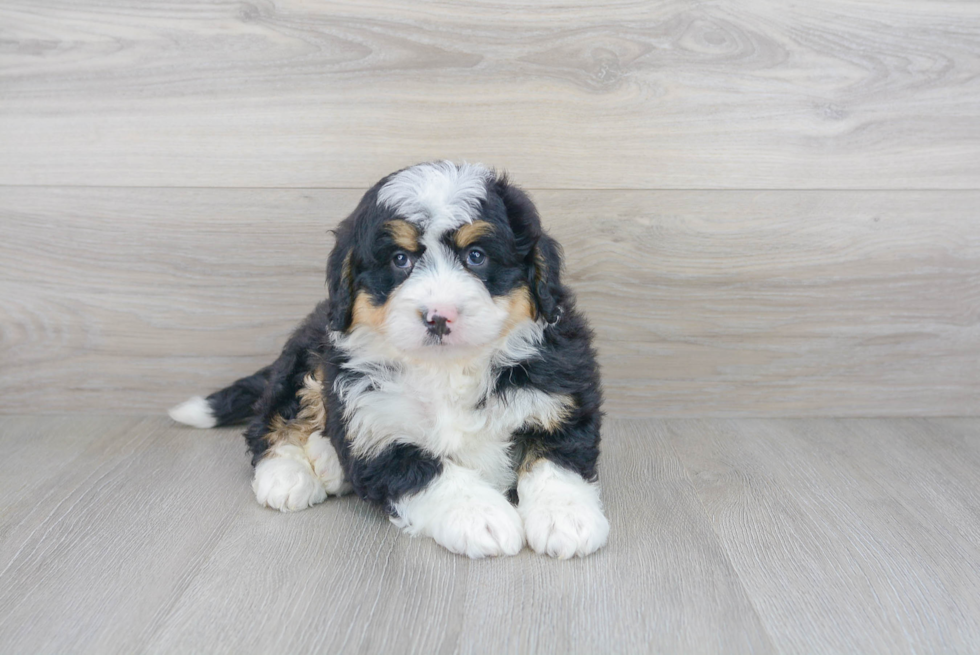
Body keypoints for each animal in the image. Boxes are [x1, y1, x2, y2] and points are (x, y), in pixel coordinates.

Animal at [172, 163, 608, 560]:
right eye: (400, 259)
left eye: (476, 256)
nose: (438, 316)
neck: (448, 368)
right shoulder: (376, 430)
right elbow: (432, 473)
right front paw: (481, 517)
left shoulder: (560, 395)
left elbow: (556, 460)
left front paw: (567, 517)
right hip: (309, 360)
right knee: (273, 419)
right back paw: (287, 474)